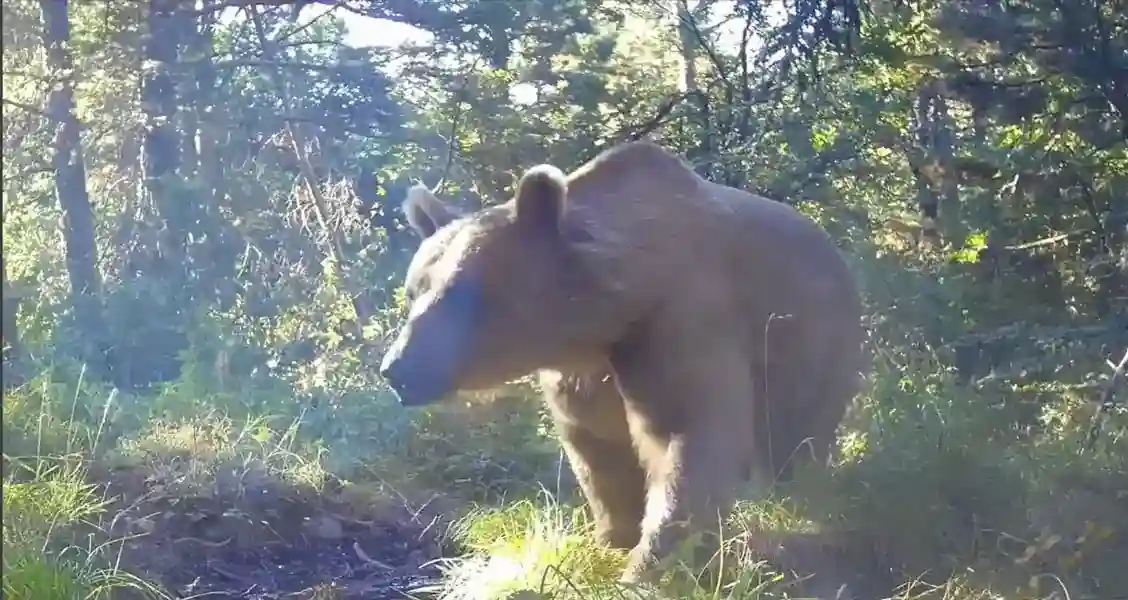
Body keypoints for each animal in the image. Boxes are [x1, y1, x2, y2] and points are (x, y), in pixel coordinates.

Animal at [383, 139, 866, 581]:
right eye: (413, 291)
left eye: (458, 293)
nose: (396, 369)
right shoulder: (582, 373)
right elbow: (598, 453)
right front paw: (611, 539)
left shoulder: (682, 322)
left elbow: (688, 436)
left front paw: (650, 566)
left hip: (812, 342)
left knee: (799, 437)